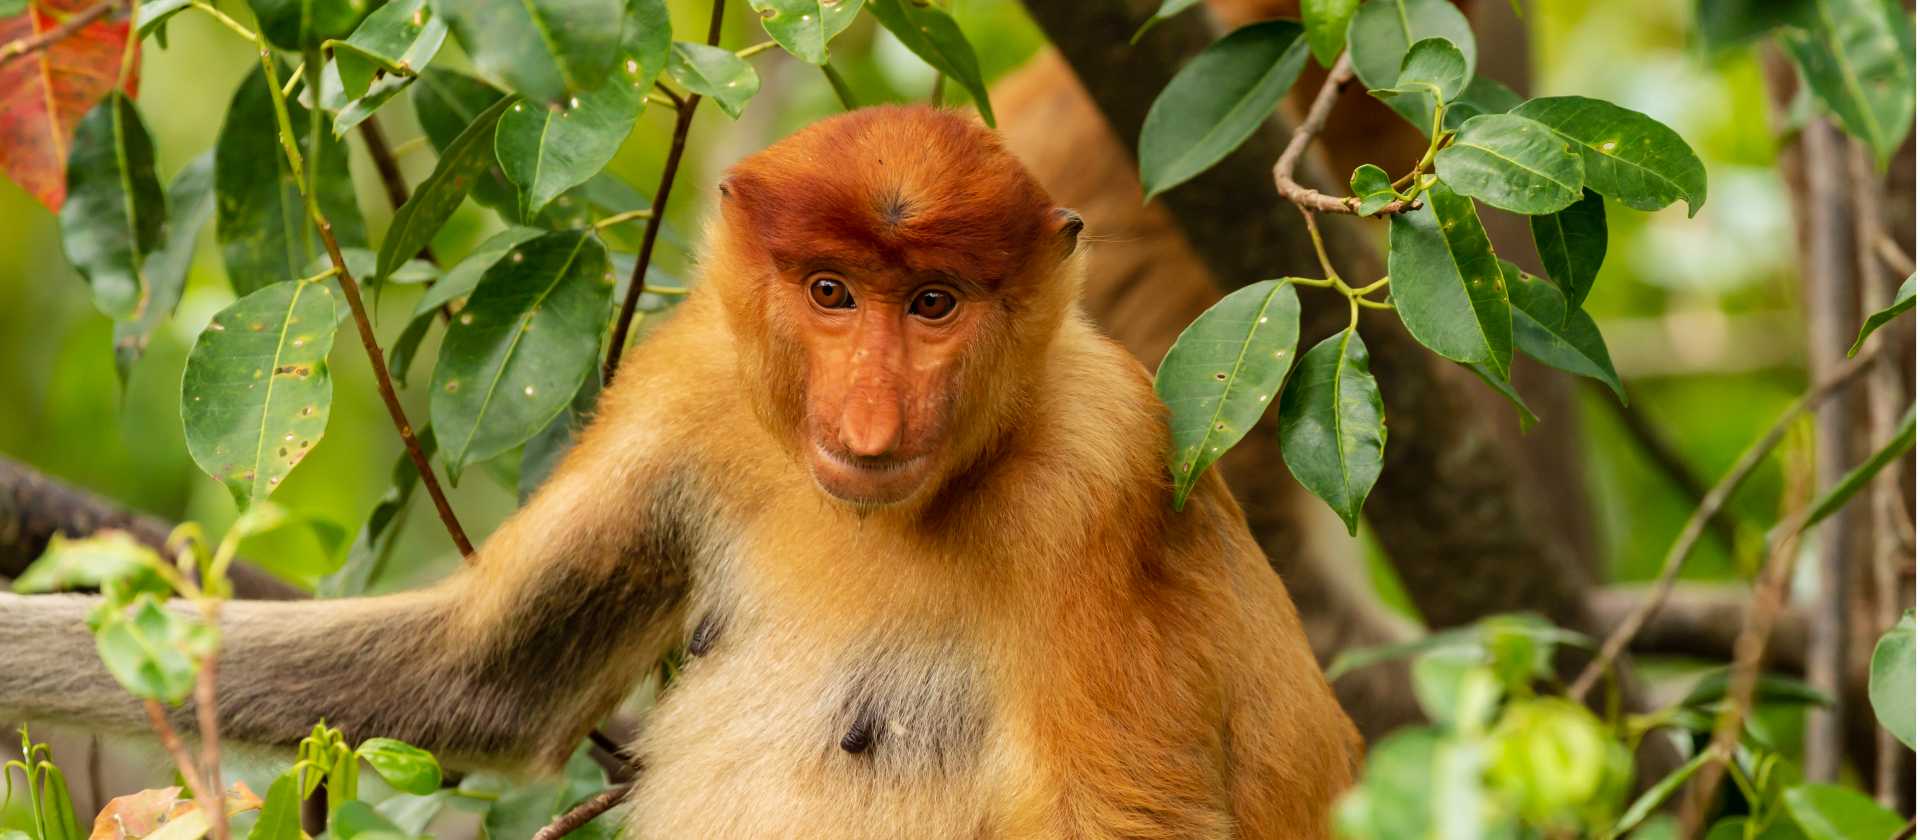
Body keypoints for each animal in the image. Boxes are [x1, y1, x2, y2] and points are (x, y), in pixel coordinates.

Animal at [0, 105, 1360, 838]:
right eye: (830, 293)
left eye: (934, 304)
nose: (868, 424)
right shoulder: (694, 388)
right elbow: (480, 679)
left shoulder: (1103, 465)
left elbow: (1119, 811)